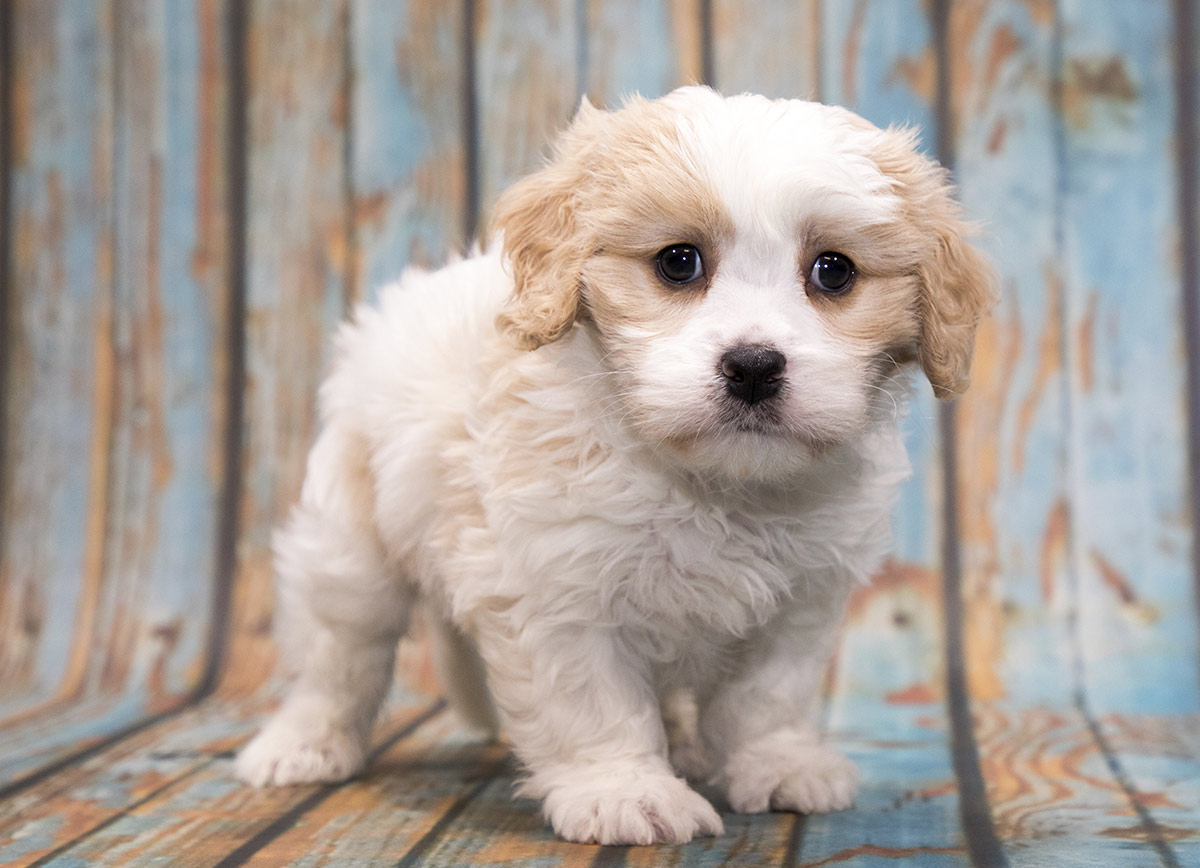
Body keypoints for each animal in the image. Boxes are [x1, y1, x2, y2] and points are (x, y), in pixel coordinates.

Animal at [234, 88, 993, 849]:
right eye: (678, 263)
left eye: (833, 271)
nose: (753, 366)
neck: (714, 485)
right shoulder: (555, 589)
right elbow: (592, 703)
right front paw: (625, 791)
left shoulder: (803, 599)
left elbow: (768, 695)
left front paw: (777, 763)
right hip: (348, 539)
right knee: (339, 652)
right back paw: (302, 743)